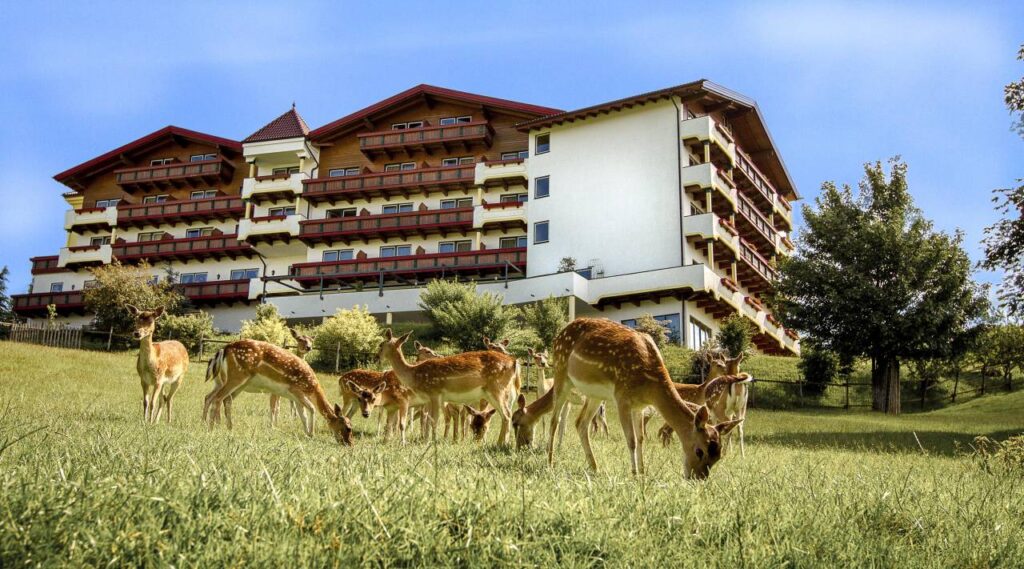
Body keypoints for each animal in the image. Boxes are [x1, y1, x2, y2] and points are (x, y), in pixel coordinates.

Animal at [203, 337, 356, 444]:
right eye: (347, 428)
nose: (350, 443)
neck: (312, 388)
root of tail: (225, 348)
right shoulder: (295, 389)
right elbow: (312, 409)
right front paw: (311, 434)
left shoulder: (296, 398)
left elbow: (303, 414)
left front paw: (307, 433)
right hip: (236, 376)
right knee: (218, 398)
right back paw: (211, 430)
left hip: (238, 383)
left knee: (220, 399)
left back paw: (226, 427)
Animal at [378, 329, 520, 444]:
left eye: (380, 345)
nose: (377, 356)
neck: (414, 374)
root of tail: (514, 362)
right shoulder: (428, 398)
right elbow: (428, 419)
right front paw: (426, 440)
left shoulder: (435, 392)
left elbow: (434, 420)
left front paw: (431, 442)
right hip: (492, 393)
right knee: (505, 414)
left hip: (497, 387)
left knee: (506, 414)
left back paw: (501, 443)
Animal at [548, 317, 741, 476]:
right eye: (699, 451)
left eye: (718, 456)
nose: (698, 478)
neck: (650, 385)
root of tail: (558, 336)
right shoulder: (622, 398)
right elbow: (631, 440)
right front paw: (634, 474)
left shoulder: (638, 406)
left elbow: (641, 439)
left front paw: (643, 472)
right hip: (561, 373)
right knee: (555, 420)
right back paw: (550, 462)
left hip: (594, 394)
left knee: (581, 423)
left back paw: (595, 467)